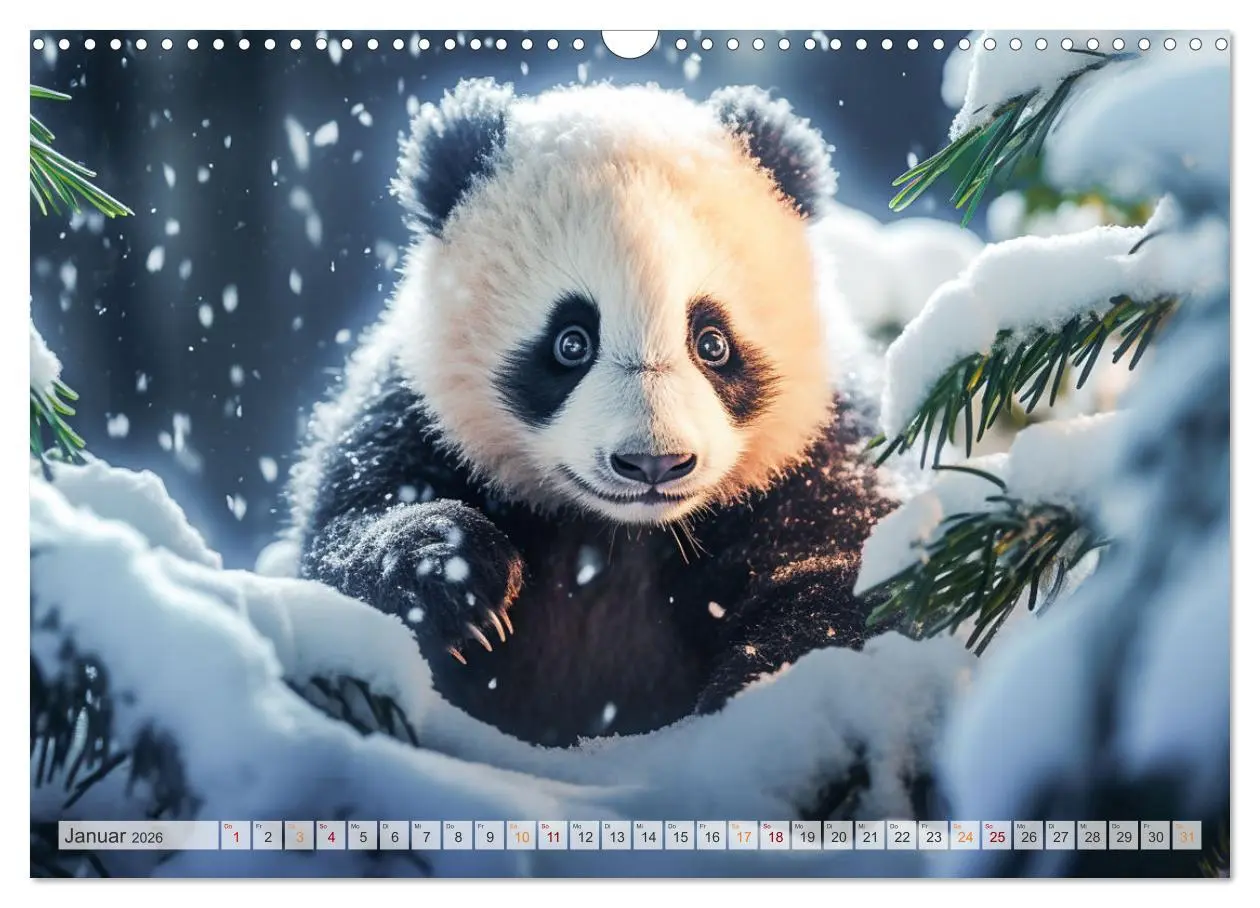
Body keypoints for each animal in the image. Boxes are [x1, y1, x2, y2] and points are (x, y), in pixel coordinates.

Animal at [287, 78, 896, 747]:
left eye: (712, 342)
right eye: (571, 342)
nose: (654, 463)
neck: (617, 533)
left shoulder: (818, 447)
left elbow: (847, 575)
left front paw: (770, 698)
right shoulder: (412, 416)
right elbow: (338, 547)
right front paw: (454, 572)